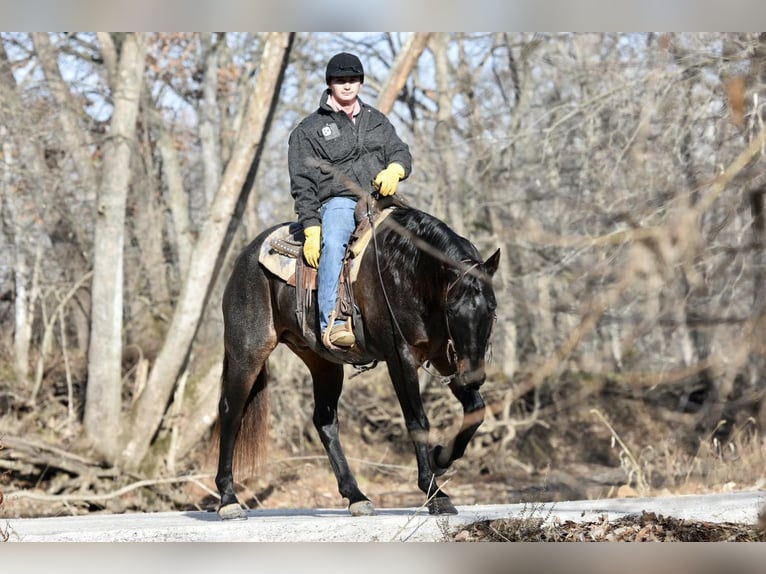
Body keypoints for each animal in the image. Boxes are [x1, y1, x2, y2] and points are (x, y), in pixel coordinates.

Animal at [214, 202, 504, 520]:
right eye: (452, 309)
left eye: (491, 307)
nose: (475, 376)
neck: (408, 270)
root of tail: (245, 257)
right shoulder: (400, 357)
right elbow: (417, 421)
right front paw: (434, 493)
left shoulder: (444, 357)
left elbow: (476, 409)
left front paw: (440, 457)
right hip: (247, 353)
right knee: (231, 413)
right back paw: (229, 500)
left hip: (322, 362)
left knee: (325, 421)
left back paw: (356, 496)